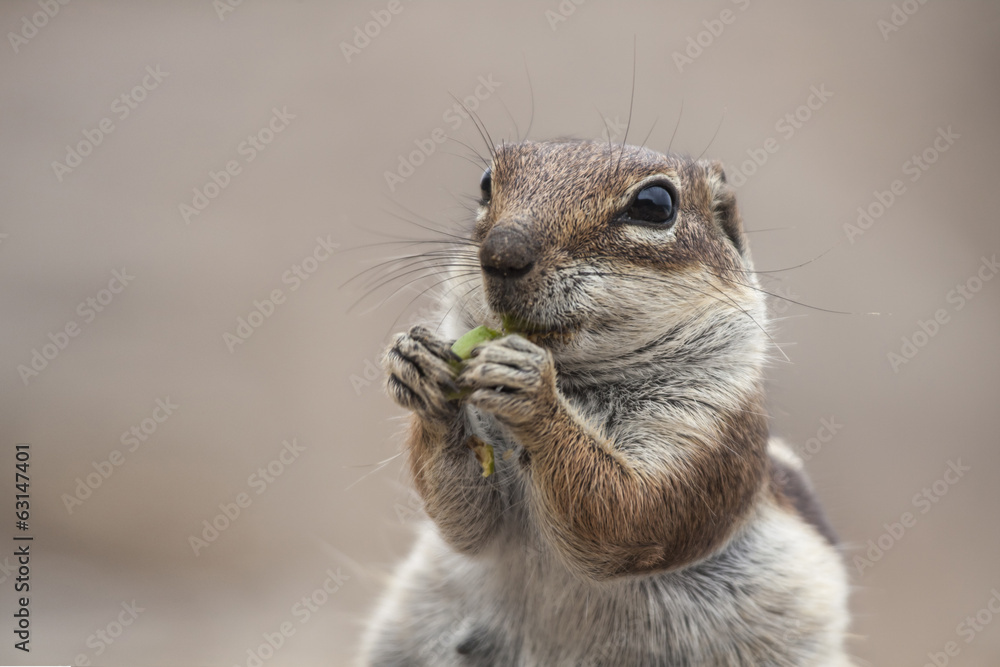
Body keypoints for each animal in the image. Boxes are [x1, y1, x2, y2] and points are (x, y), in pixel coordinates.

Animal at [359, 139, 853, 666]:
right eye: (486, 183)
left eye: (655, 204)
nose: (501, 252)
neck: (576, 381)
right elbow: (466, 519)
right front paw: (418, 365)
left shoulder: (709, 434)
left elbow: (629, 515)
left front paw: (532, 392)